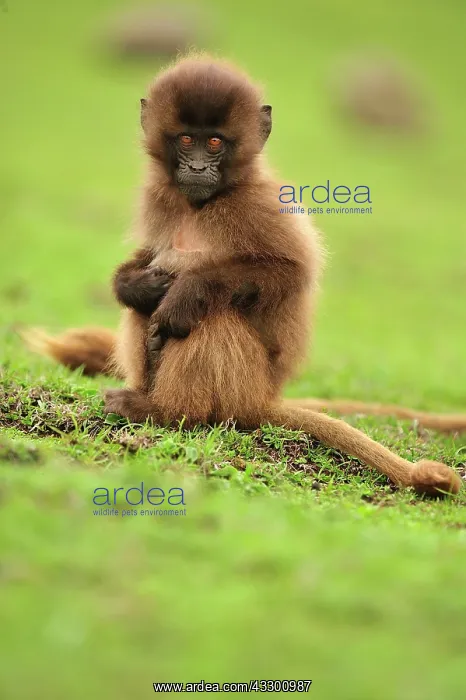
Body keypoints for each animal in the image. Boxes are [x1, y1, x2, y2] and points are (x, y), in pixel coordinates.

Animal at [24, 54, 464, 496]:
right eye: (187, 140)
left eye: (215, 143)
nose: (198, 167)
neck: (202, 205)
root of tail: (263, 400)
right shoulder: (160, 198)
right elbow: (149, 265)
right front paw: (134, 284)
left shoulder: (260, 203)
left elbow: (289, 272)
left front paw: (188, 291)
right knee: (150, 310)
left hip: (244, 386)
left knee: (210, 316)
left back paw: (167, 411)